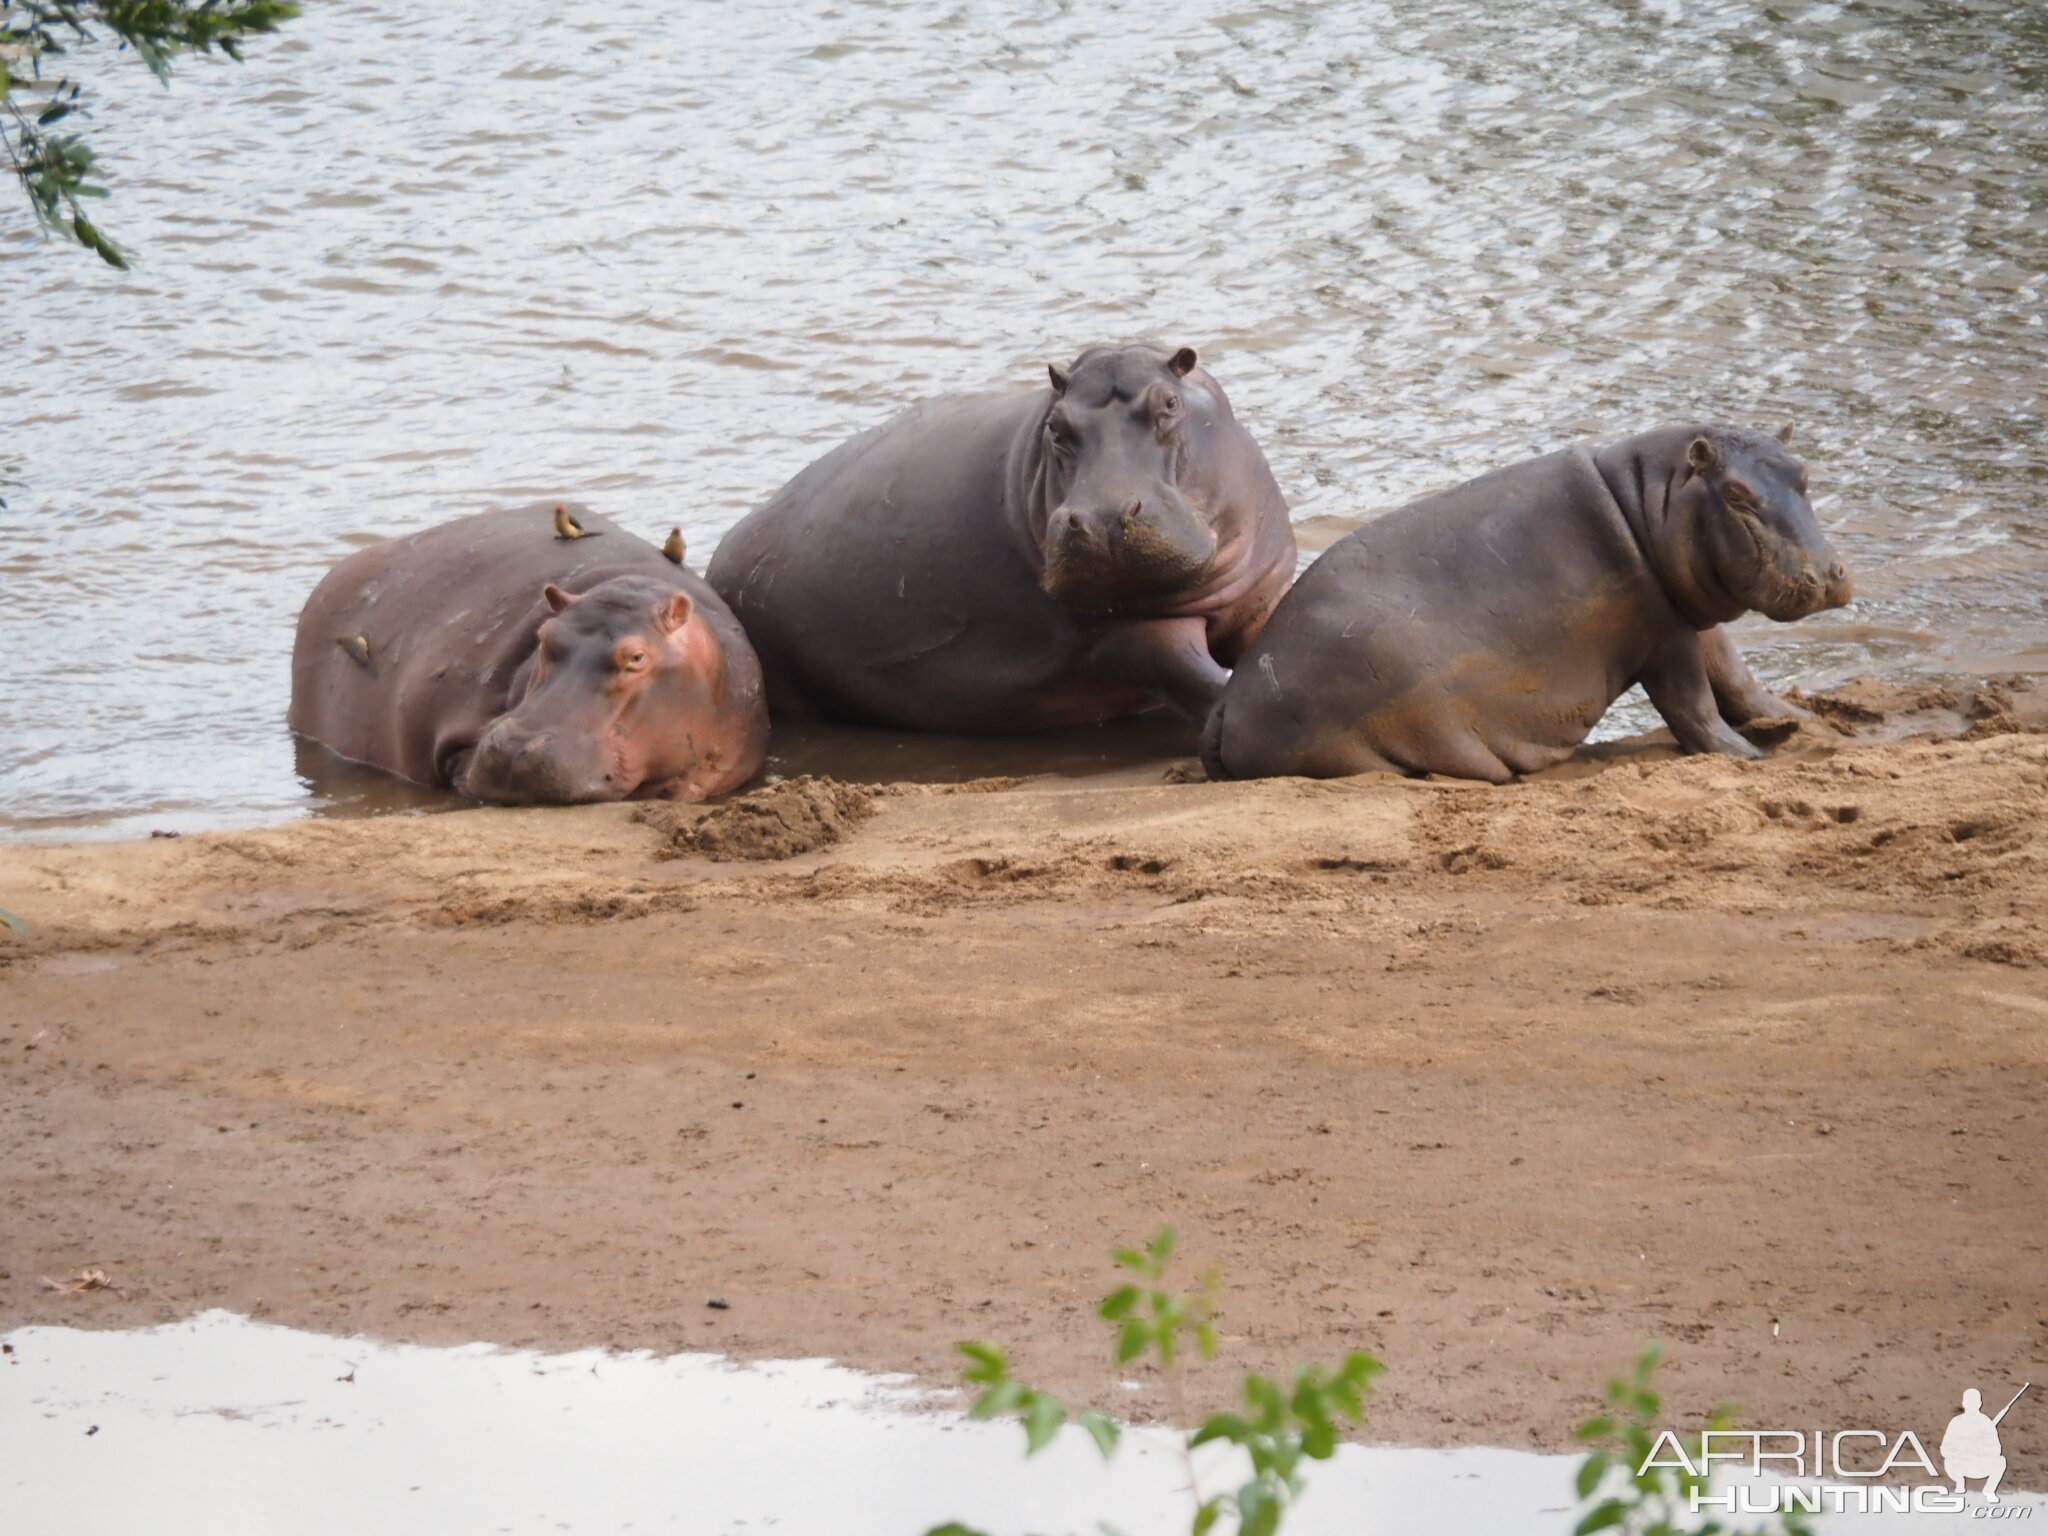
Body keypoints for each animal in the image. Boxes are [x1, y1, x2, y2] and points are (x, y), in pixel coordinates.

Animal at [708, 346, 1294, 737]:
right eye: (1056, 426)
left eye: (1169, 403)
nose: (1102, 518)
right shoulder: (1131, 634)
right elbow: (1201, 680)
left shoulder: (1263, 595)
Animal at [1196, 423, 1859, 786]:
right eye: (1739, 495)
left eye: (1803, 472)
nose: (1829, 575)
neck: (1651, 501)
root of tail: (1229, 700)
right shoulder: (1663, 635)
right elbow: (1694, 704)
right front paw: (1750, 756)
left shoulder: (1688, 615)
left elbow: (1738, 679)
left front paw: (1807, 722)